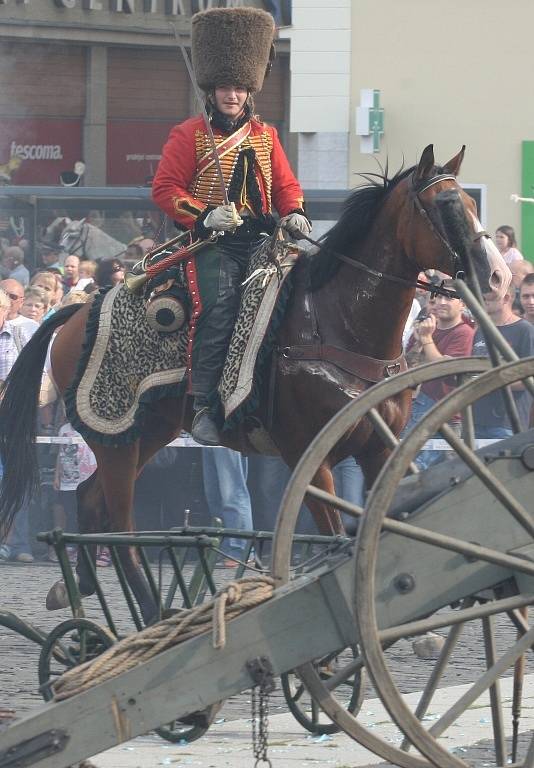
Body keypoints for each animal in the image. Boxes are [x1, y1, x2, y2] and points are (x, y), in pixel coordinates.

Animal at [0, 146, 510, 624]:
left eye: (471, 202)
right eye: (446, 205)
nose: (498, 276)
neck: (338, 323)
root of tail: (76, 312)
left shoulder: (381, 450)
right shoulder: (310, 456)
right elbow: (334, 536)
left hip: (146, 434)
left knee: (91, 501)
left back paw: (79, 587)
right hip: (117, 440)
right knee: (120, 527)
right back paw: (148, 608)